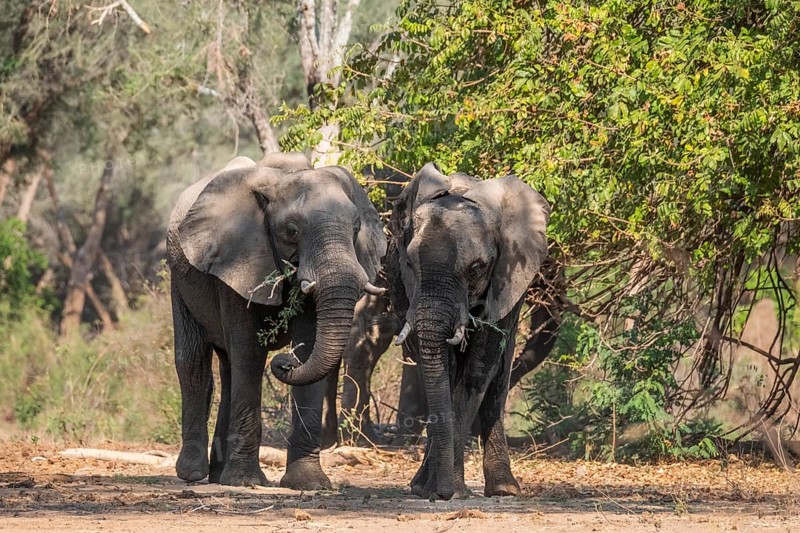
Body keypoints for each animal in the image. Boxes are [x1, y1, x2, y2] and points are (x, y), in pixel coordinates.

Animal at [167, 152, 386, 489]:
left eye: (356, 228)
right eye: (292, 231)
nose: (283, 362)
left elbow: (308, 343)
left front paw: (309, 484)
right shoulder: (237, 259)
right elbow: (249, 353)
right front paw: (245, 481)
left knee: (228, 369)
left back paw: (218, 475)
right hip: (179, 278)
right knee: (194, 362)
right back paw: (193, 474)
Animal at [387, 163, 550, 500]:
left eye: (477, 268)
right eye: (409, 263)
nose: (442, 494)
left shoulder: (507, 277)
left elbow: (478, 369)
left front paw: (451, 490)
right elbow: (444, 369)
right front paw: (432, 488)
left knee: (498, 376)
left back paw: (504, 489)